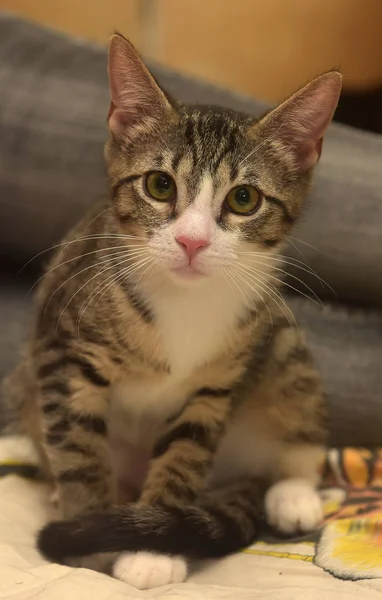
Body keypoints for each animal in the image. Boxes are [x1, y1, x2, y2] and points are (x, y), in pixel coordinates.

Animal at [2, 34, 342, 592]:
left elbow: (186, 453)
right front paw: (90, 538)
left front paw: (152, 551)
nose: (191, 241)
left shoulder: (216, 385)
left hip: (281, 340)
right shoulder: (62, 348)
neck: (184, 300)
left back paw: (291, 494)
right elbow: (79, 453)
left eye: (244, 198)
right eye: (160, 185)